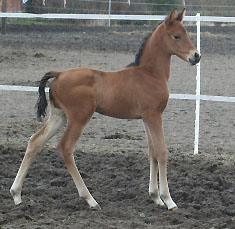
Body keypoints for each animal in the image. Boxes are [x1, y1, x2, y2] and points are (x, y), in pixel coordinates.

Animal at [10, 8, 200, 210]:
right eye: (177, 36)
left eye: (186, 33)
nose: (196, 56)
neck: (149, 74)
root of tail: (59, 74)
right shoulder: (154, 115)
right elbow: (162, 152)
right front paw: (168, 200)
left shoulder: (147, 118)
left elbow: (152, 152)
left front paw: (155, 197)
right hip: (79, 117)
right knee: (65, 147)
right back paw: (90, 199)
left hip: (59, 116)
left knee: (35, 141)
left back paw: (16, 194)